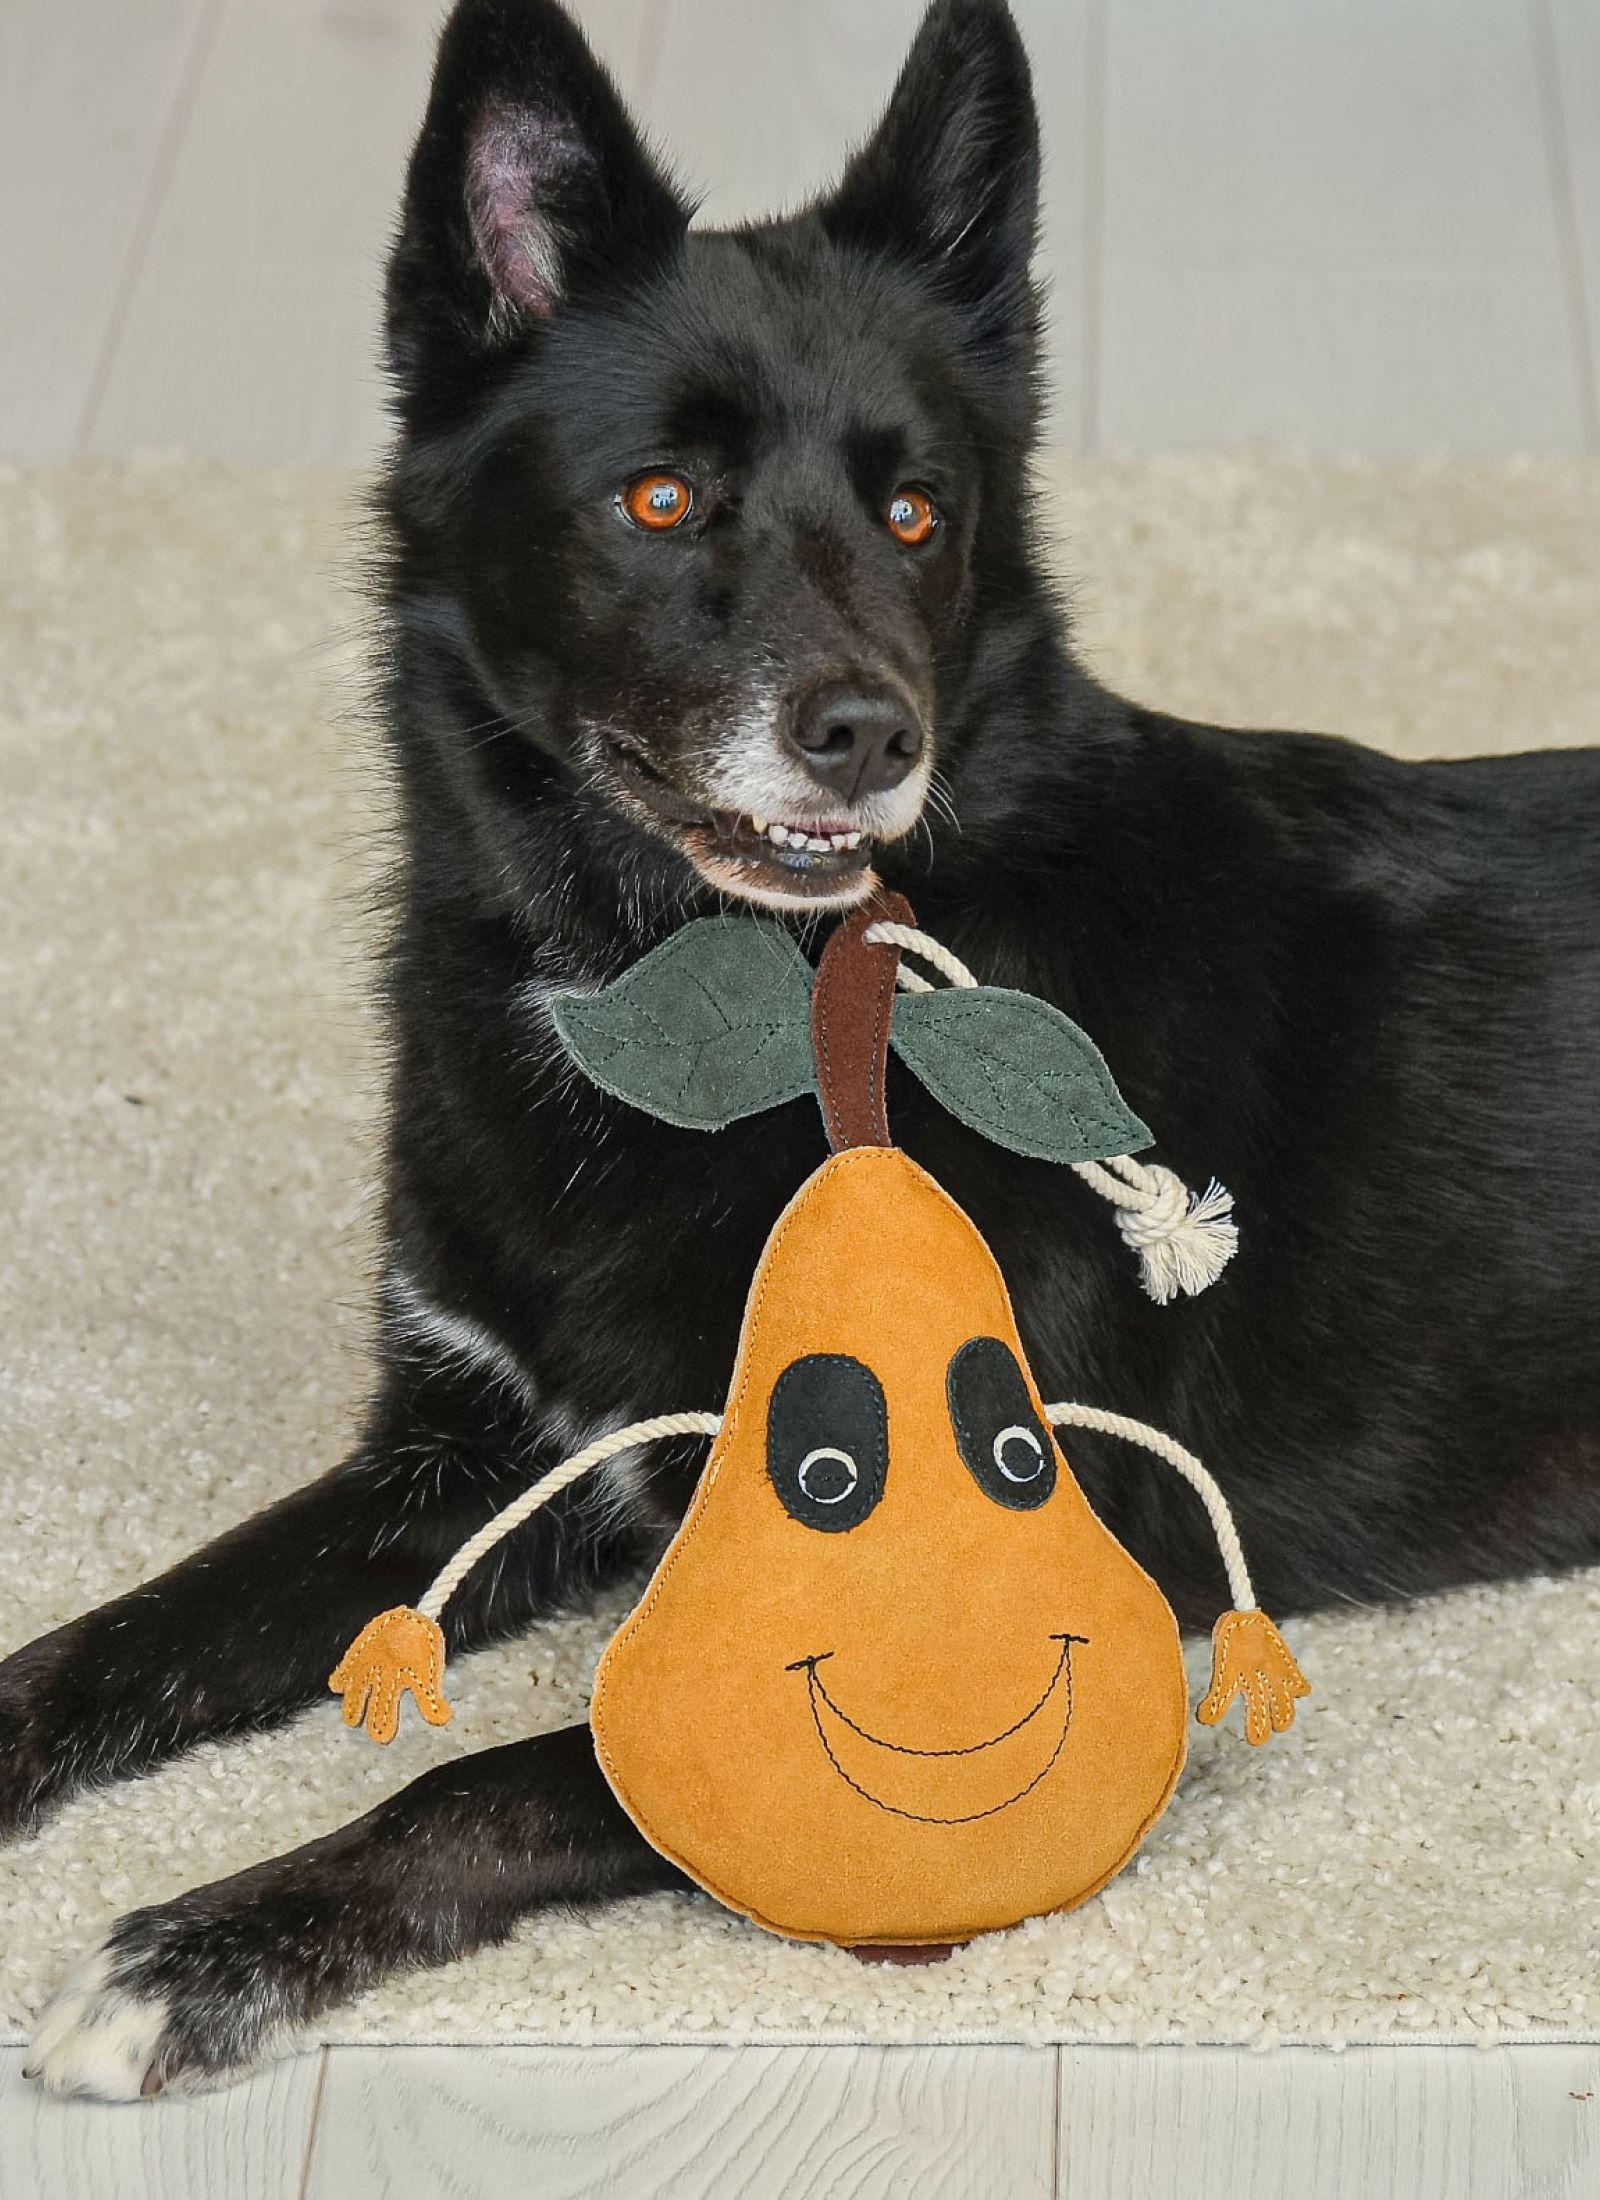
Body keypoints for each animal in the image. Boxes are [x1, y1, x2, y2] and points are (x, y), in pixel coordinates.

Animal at [12, 0, 1600, 2099]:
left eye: (918, 514)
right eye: (660, 500)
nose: (870, 739)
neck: (667, 1007)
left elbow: (496, 1778)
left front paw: (192, 1949)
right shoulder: (454, 1452)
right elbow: (130, 1630)